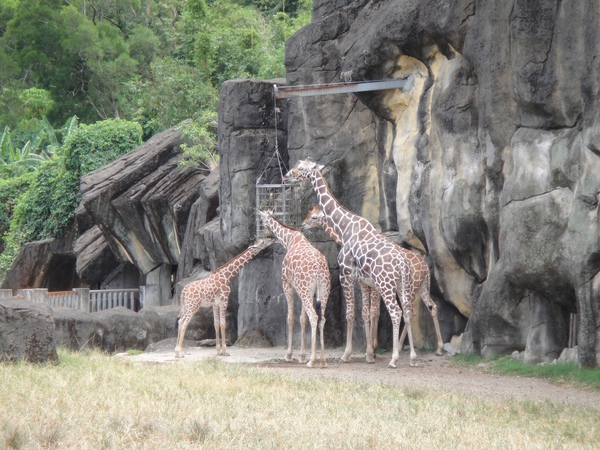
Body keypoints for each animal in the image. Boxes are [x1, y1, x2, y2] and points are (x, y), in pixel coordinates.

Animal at [258, 209, 332, 368]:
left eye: (262, 220)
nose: (264, 234)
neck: (290, 240)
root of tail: (318, 270)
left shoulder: (288, 284)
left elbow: (291, 317)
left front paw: (289, 355)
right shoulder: (304, 291)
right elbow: (302, 319)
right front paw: (302, 356)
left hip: (305, 290)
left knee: (314, 316)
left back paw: (312, 361)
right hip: (323, 291)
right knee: (322, 318)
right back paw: (322, 360)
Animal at [286, 160, 418, 368]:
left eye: (301, 168)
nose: (286, 176)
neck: (344, 227)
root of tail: (403, 263)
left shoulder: (346, 274)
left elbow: (350, 313)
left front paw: (347, 354)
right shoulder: (364, 281)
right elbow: (364, 312)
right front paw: (369, 354)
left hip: (385, 285)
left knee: (396, 312)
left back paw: (394, 358)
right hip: (402, 285)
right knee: (406, 311)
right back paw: (412, 357)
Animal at [302, 204, 442, 356]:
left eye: (314, 216)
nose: (303, 225)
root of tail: (425, 268)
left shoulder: (373, 285)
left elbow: (372, 311)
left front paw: (372, 348)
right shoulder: (372, 285)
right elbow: (372, 311)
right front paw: (372, 347)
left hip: (408, 288)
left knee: (409, 311)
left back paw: (399, 347)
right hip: (420, 288)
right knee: (429, 307)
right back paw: (438, 348)